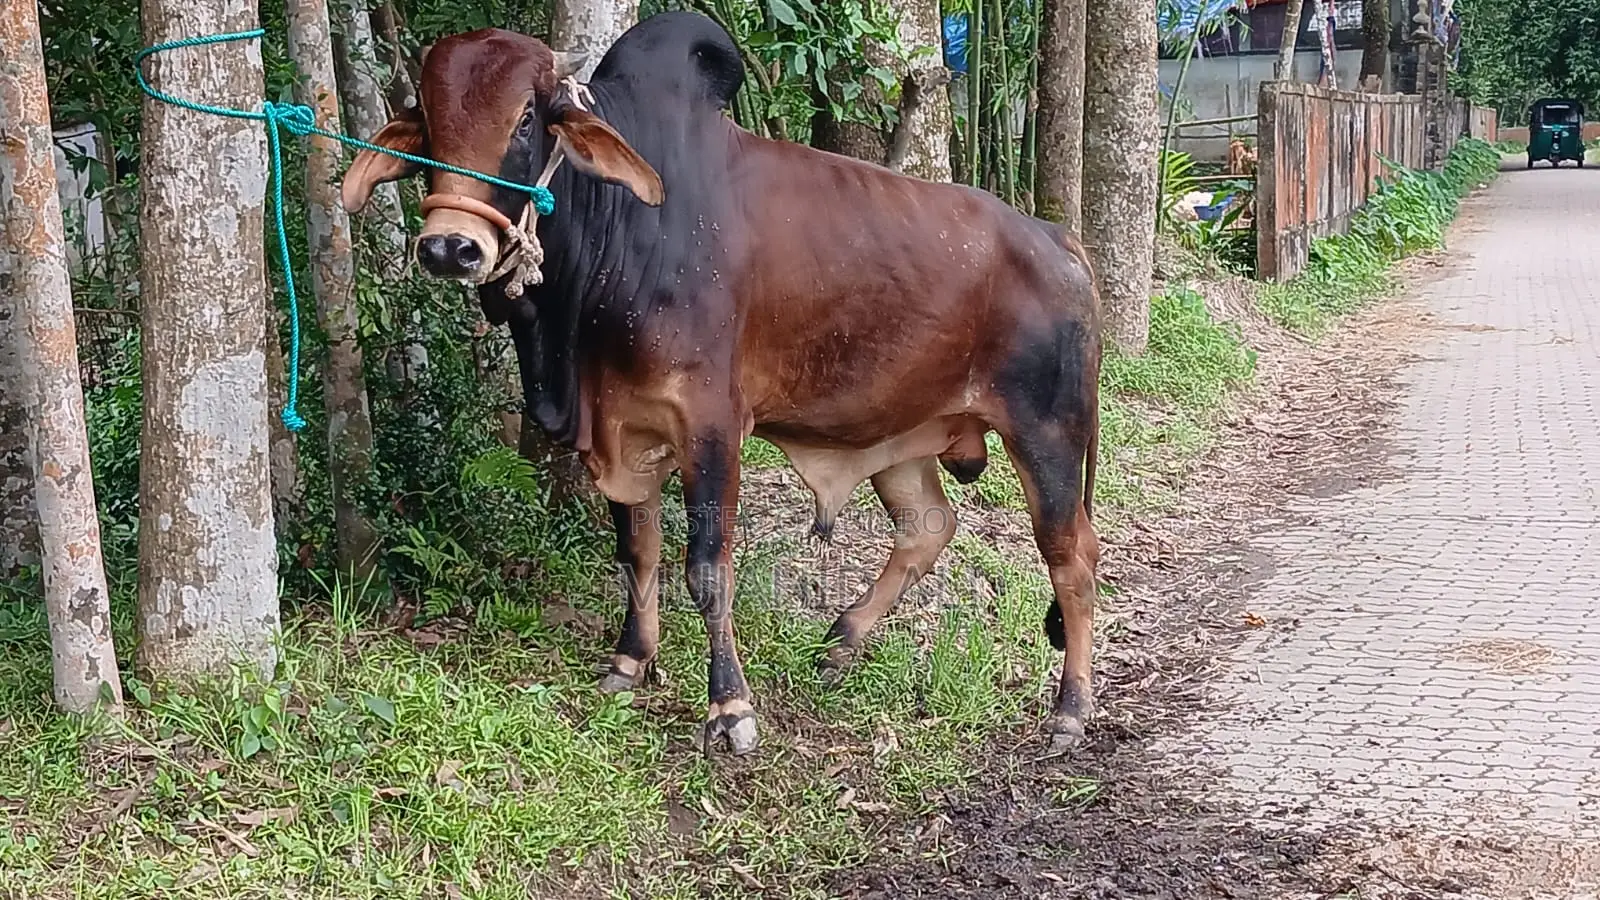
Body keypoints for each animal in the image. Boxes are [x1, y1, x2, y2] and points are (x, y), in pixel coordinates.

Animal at [339, 11, 1102, 757]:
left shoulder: (709, 424)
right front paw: (630, 660)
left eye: (527, 119)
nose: (450, 247)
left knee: (1073, 557)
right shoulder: (626, 429)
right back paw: (840, 640)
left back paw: (1070, 711)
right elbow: (637, 552)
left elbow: (706, 571)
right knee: (928, 526)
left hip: (1048, 432)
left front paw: (730, 708)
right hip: (902, 434)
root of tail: (1057, 238)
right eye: (428, 123)